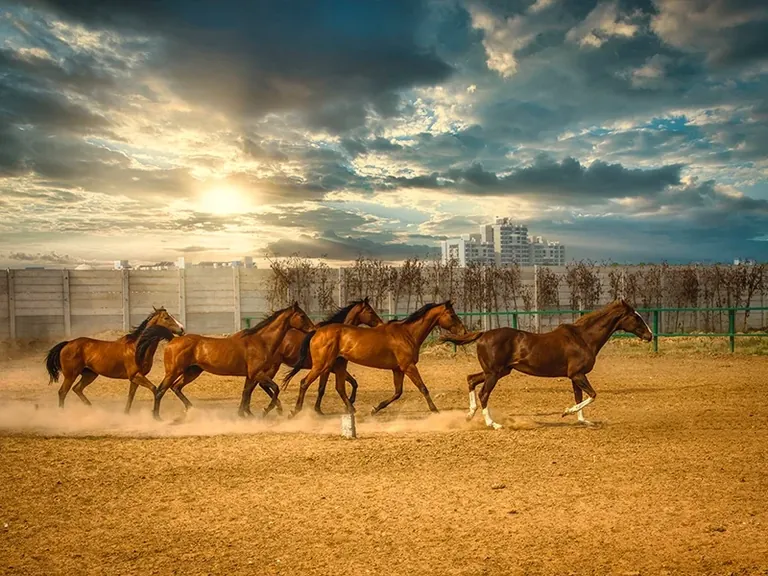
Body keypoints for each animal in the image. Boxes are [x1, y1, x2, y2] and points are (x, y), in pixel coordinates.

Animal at [44, 306, 185, 413]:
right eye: (166, 318)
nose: (182, 329)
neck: (137, 347)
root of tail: (67, 343)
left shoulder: (135, 378)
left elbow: (131, 396)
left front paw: (126, 413)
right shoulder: (136, 375)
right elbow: (155, 389)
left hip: (90, 374)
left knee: (77, 389)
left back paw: (92, 409)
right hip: (71, 375)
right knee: (62, 392)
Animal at [136, 302, 313, 419]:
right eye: (302, 315)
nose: (313, 329)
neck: (261, 341)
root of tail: (173, 339)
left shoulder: (251, 375)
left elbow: (246, 393)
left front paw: (244, 414)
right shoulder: (257, 373)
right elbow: (274, 388)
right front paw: (265, 411)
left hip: (192, 371)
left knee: (176, 387)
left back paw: (192, 410)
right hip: (174, 371)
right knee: (160, 390)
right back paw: (157, 417)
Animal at [283, 301, 467, 416]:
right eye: (451, 315)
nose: (463, 331)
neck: (407, 334)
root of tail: (316, 331)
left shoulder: (398, 369)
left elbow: (398, 393)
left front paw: (375, 409)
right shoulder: (408, 366)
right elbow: (423, 388)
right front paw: (435, 410)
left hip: (338, 365)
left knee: (340, 388)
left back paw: (351, 409)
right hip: (322, 365)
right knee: (304, 383)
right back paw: (295, 411)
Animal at [439, 299, 653, 429]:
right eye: (635, 317)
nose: (650, 335)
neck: (583, 338)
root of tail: (483, 334)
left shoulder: (575, 377)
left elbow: (579, 397)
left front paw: (583, 421)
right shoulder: (577, 374)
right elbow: (592, 395)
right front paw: (566, 412)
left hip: (498, 371)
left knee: (471, 380)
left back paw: (469, 415)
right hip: (493, 373)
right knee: (483, 393)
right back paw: (493, 424)